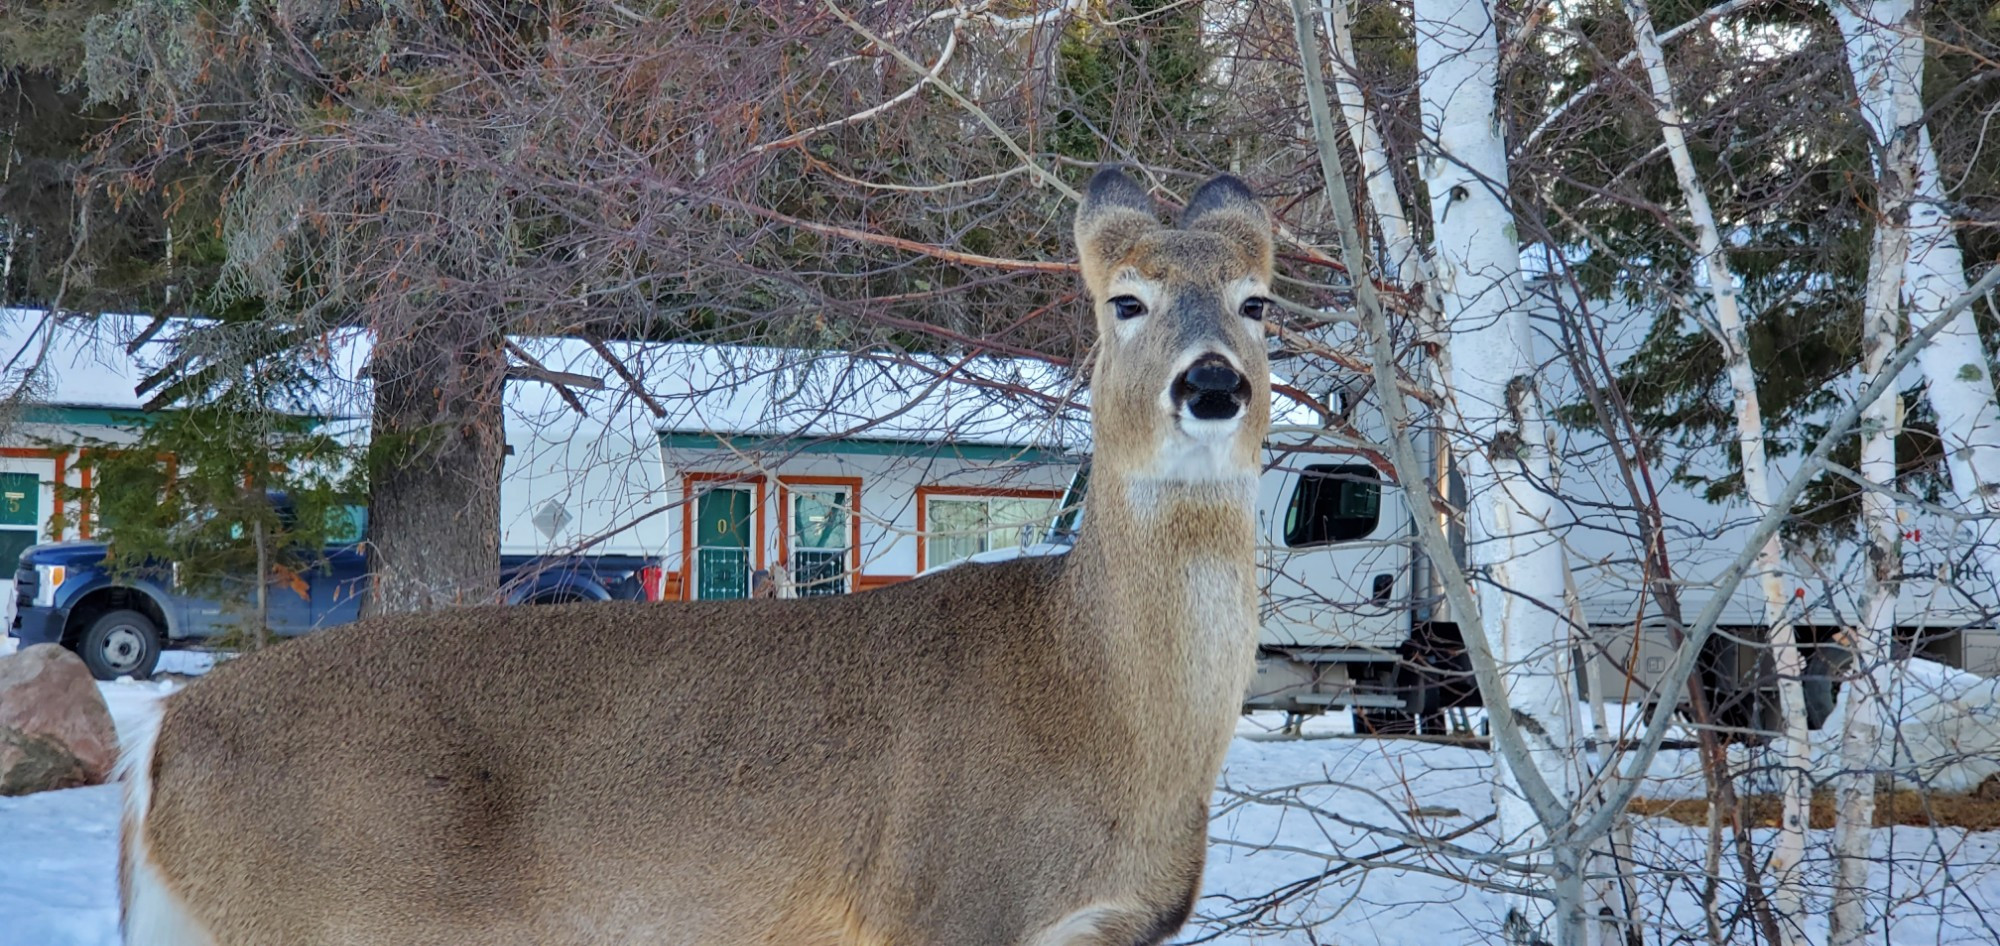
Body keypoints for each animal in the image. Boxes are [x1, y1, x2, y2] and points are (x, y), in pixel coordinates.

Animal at [117, 170, 1272, 944]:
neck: (1095, 701)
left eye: (1259, 300)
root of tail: (161, 738)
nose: (1213, 382)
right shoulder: (945, 901)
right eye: (1123, 299)